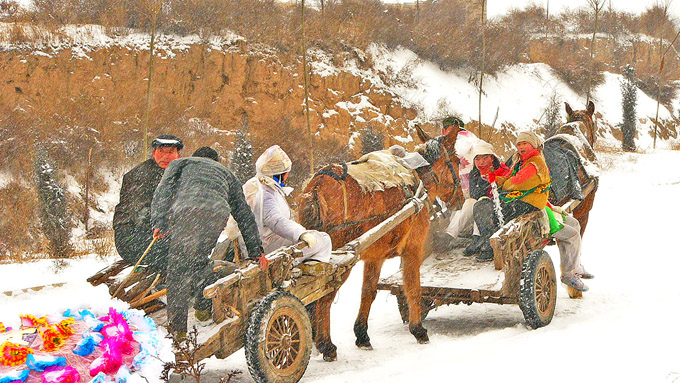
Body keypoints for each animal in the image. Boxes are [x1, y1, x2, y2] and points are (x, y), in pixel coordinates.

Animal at [298, 124, 462, 364]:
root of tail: (318, 184)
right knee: (325, 298)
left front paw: (362, 335)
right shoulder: (413, 249)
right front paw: (418, 330)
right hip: (337, 260)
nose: (461, 198)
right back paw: (326, 345)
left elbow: (368, 292)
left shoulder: (374, 256)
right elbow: (413, 287)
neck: (419, 182)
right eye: (458, 161)